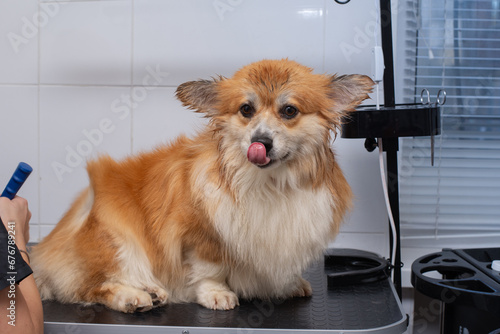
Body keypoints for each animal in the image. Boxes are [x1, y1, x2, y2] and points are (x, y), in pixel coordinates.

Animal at [31, 58, 374, 312]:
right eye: (246, 109)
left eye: (289, 110)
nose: (260, 142)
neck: (271, 184)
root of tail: (45, 252)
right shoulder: (199, 236)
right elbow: (209, 268)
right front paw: (216, 294)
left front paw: (288, 285)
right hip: (115, 239)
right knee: (90, 287)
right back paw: (133, 297)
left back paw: (152, 292)